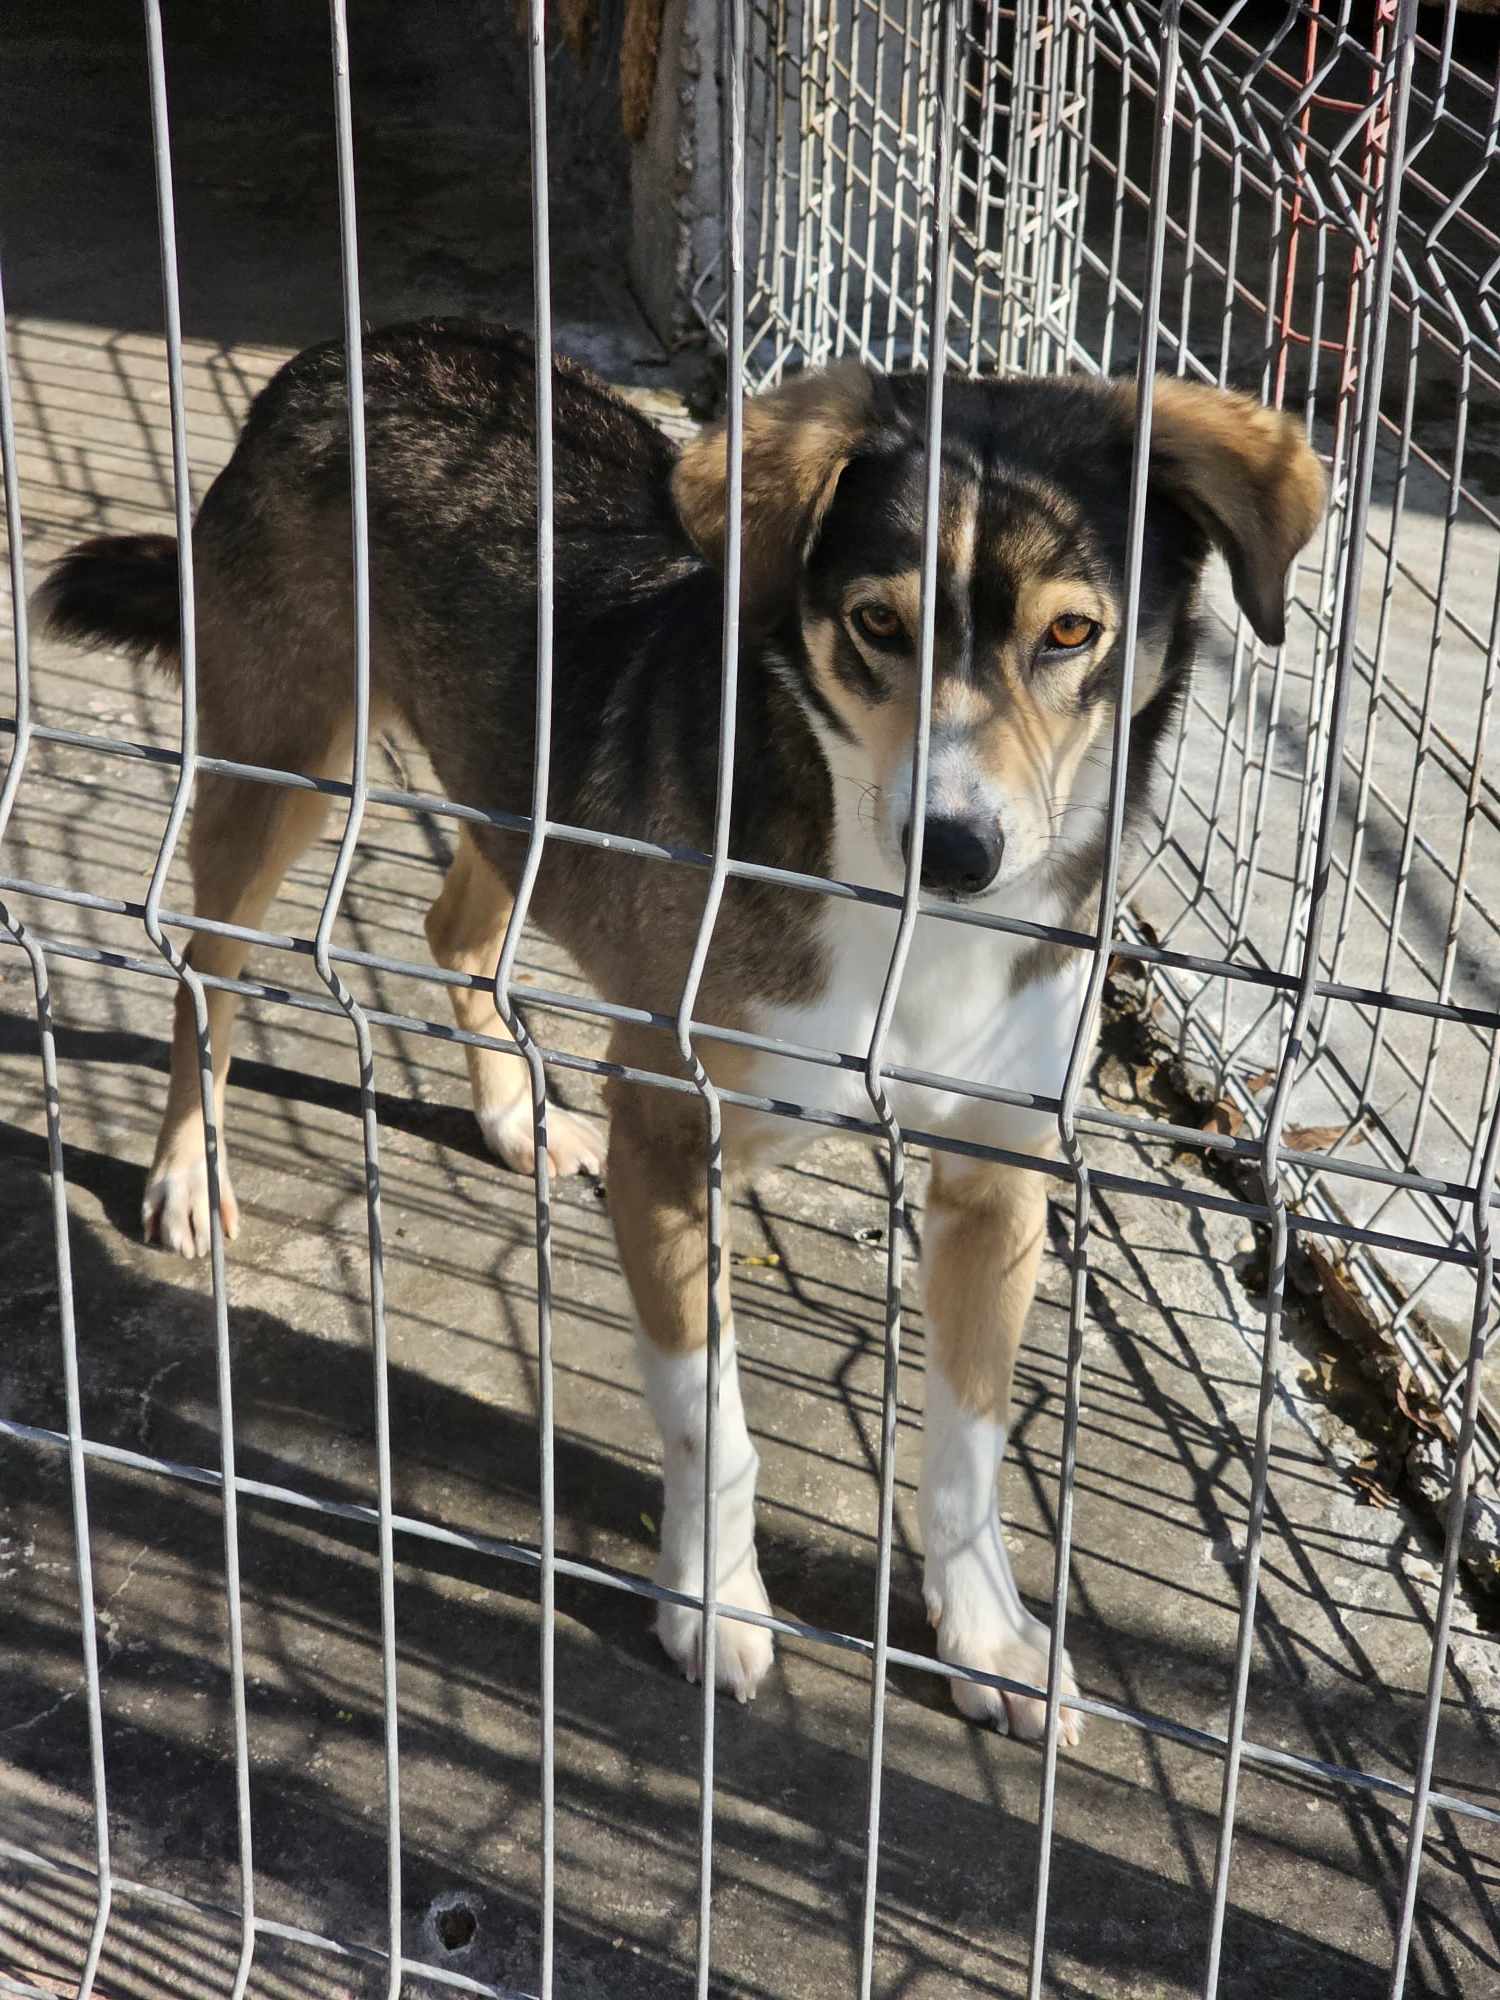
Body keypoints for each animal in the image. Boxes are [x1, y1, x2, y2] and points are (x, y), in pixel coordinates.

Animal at [39, 321, 1324, 1739]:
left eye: (1073, 631)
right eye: (878, 622)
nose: (959, 850)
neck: (889, 907)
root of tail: (359, 345)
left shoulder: (998, 1173)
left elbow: (970, 1448)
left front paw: (986, 1634)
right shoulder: (667, 1136)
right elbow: (715, 1423)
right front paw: (714, 1603)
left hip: (514, 794)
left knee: (453, 927)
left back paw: (512, 1111)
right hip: (280, 766)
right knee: (200, 973)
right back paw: (185, 1171)